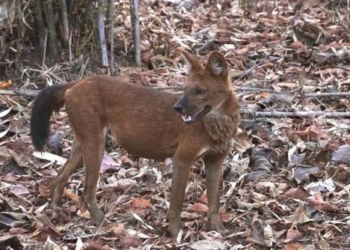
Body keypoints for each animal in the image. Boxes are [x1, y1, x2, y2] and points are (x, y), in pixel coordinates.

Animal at [30, 48, 241, 238]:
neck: (218, 126)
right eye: (185, 89)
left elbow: (214, 201)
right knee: (87, 191)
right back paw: (104, 224)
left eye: (201, 91)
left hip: (82, 145)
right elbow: (177, 202)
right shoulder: (182, 159)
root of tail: (76, 82)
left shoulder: (216, 160)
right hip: (95, 145)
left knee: (60, 174)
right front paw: (176, 233)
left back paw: (56, 211)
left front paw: (219, 229)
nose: (178, 108)